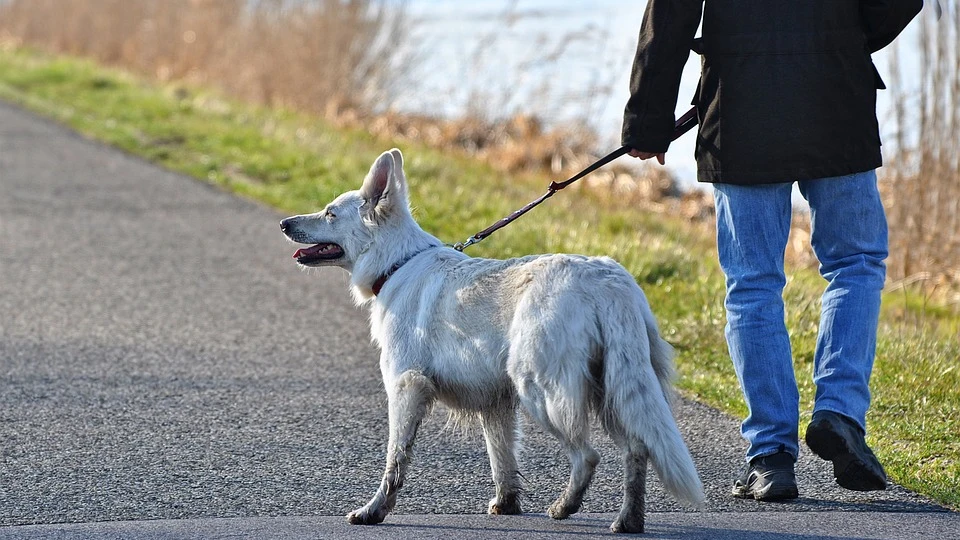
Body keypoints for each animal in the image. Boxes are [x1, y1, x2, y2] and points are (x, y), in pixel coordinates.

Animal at [282, 149, 700, 536]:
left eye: (330, 214)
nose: (285, 223)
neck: (398, 263)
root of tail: (609, 281)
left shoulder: (406, 388)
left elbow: (395, 460)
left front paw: (374, 511)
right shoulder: (495, 403)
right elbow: (502, 461)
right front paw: (507, 505)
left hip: (543, 392)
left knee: (588, 456)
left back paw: (564, 507)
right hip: (613, 391)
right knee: (637, 449)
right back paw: (628, 520)